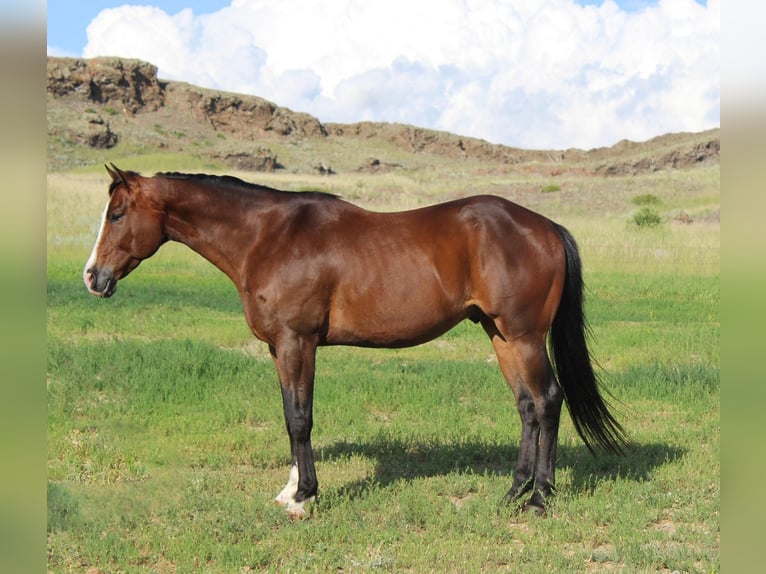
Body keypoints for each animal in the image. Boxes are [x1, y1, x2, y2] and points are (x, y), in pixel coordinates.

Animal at [84, 164, 628, 520]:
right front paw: (289, 490)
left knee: (548, 400)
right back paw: (513, 493)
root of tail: (546, 226)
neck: (267, 236)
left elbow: (300, 419)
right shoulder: (278, 348)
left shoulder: (297, 342)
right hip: (500, 337)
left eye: (118, 214)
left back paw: (539, 498)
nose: (93, 277)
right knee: (527, 407)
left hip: (524, 336)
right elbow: (289, 416)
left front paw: (304, 497)